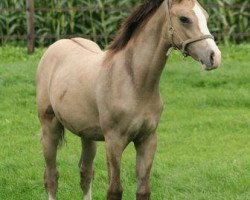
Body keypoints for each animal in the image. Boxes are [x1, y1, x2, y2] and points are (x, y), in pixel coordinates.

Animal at [36, 0, 221, 200]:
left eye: (206, 16)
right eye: (184, 19)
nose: (214, 57)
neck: (135, 84)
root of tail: (60, 43)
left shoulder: (147, 139)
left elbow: (143, 190)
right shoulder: (114, 142)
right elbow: (115, 190)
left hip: (87, 134)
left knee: (85, 173)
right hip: (50, 127)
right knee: (52, 176)